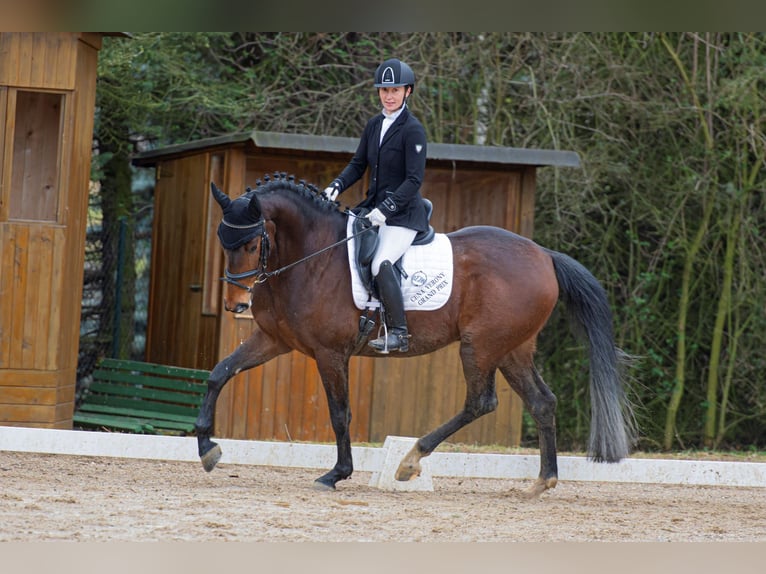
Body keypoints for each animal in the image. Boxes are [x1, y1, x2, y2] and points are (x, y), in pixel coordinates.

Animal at [195, 172, 640, 500]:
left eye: (252, 243)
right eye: (222, 240)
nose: (237, 305)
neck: (311, 256)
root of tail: (544, 255)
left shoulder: (330, 353)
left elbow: (340, 414)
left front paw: (337, 473)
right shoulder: (276, 340)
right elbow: (219, 373)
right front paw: (207, 449)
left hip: (481, 346)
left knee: (481, 402)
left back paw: (410, 460)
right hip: (513, 348)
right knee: (542, 402)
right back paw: (541, 483)